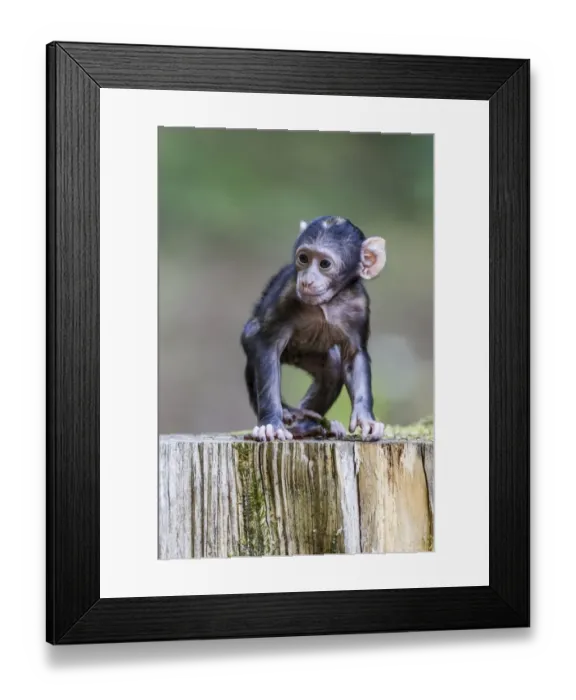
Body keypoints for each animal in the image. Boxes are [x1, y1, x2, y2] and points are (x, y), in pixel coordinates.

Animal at [240, 215, 387, 442]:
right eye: (303, 258)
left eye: (324, 264)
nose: (307, 280)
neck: (328, 302)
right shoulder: (286, 294)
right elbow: (266, 345)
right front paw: (271, 424)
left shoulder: (360, 306)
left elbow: (355, 356)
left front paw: (367, 420)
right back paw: (288, 414)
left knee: (332, 369)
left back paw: (306, 425)